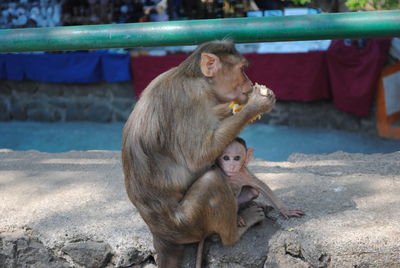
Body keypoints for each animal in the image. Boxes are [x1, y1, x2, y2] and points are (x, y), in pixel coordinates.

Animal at [122, 40, 276, 268]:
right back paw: (237, 230)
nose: (249, 84)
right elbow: (198, 157)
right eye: (241, 70)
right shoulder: (190, 99)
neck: (198, 80)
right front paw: (256, 103)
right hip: (188, 224)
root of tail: (161, 235)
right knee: (213, 180)